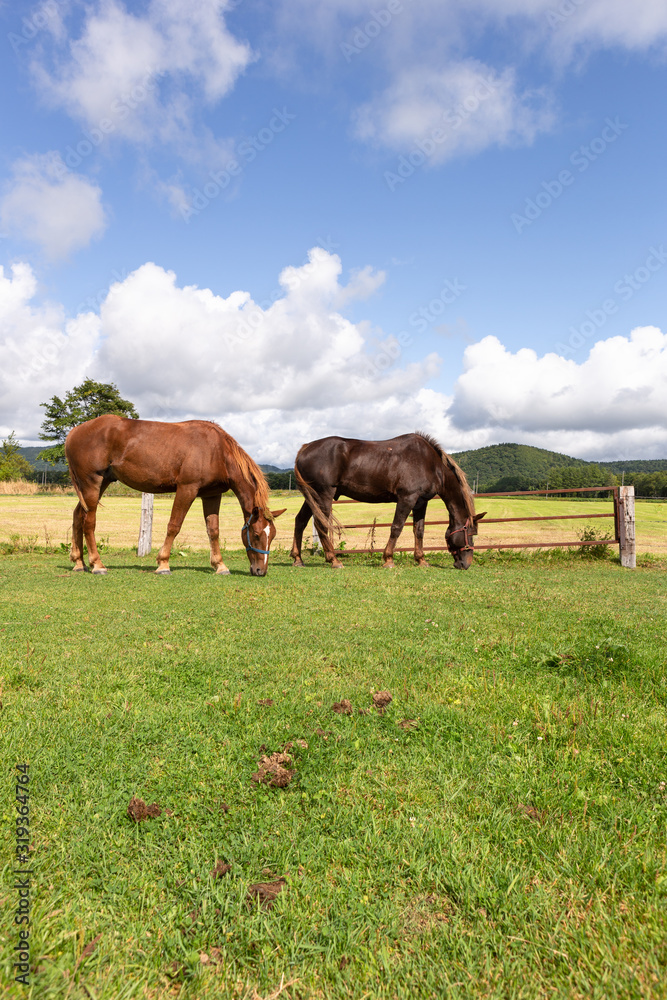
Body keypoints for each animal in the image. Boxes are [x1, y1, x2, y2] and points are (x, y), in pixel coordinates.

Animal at [65, 415, 285, 576]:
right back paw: (97, 565)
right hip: (92, 484)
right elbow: (174, 526)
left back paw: (79, 562)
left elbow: (213, 530)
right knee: (89, 522)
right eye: (256, 535)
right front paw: (163, 564)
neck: (217, 451)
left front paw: (220, 565)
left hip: (98, 485)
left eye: (273, 535)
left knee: (77, 516)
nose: (261, 571)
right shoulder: (187, 489)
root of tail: (74, 431)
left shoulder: (212, 495)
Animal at [290, 432, 486, 570]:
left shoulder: (421, 502)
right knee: (321, 525)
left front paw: (421, 560)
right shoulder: (407, 498)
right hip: (323, 495)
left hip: (312, 496)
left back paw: (298, 559)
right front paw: (388, 559)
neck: (431, 464)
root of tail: (305, 448)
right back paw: (334, 560)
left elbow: (419, 530)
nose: (466, 564)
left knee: (300, 521)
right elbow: (396, 527)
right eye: (471, 533)